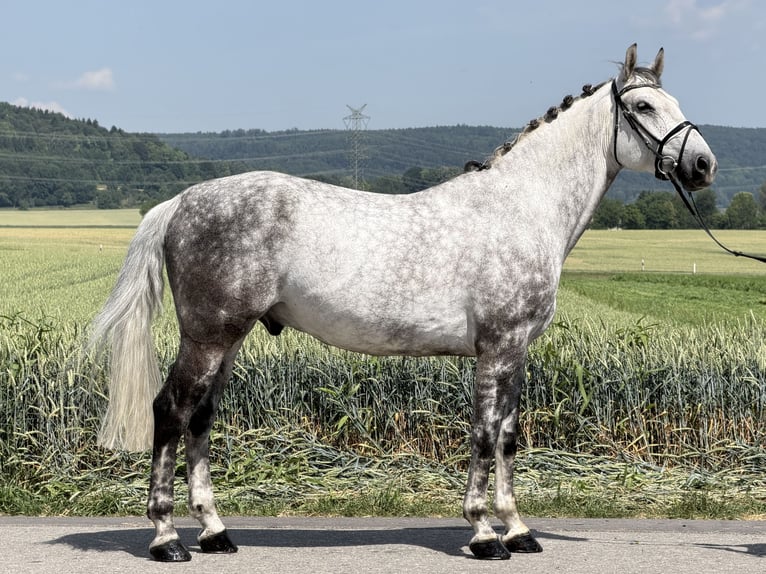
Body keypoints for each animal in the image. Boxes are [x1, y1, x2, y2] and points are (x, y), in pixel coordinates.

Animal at [89, 44, 717, 561]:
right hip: (207, 336)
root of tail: (180, 201)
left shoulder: (516, 353)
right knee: (170, 411)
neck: (519, 207)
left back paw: (216, 532)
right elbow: (483, 434)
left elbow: (508, 436)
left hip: (228, 340)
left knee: (200, 418)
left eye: (674, 101)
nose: (703, 165)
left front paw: (518, 530)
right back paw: (167, 539)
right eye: (643, 106)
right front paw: (484, 534)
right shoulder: (497, 349)